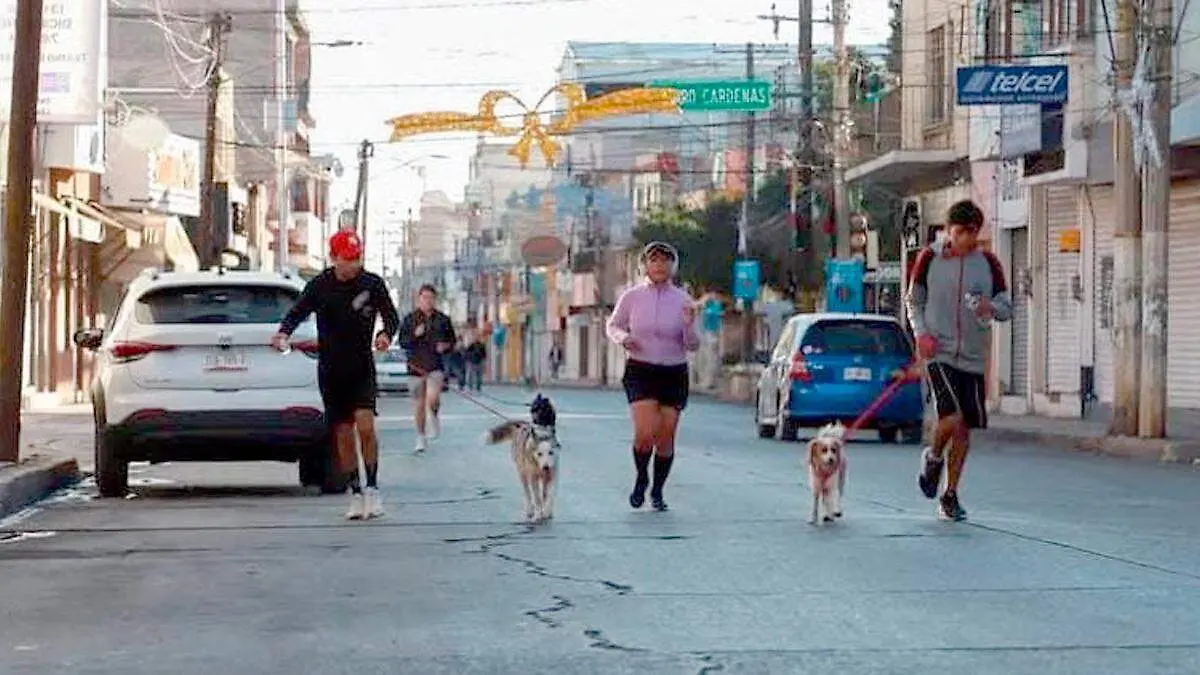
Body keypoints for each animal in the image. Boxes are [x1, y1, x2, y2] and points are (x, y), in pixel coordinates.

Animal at [480, 391, 559, 523]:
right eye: (532, 410)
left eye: (541, 410)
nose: (533, 423)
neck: (543, 435)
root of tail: (521, 424)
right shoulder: (533, 477)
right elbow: (537, 498)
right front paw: (538, 514)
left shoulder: (552, 475)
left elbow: (550, 496)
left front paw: (547, 511)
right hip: (522, 474)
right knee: (528, 494)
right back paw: (531, 510)